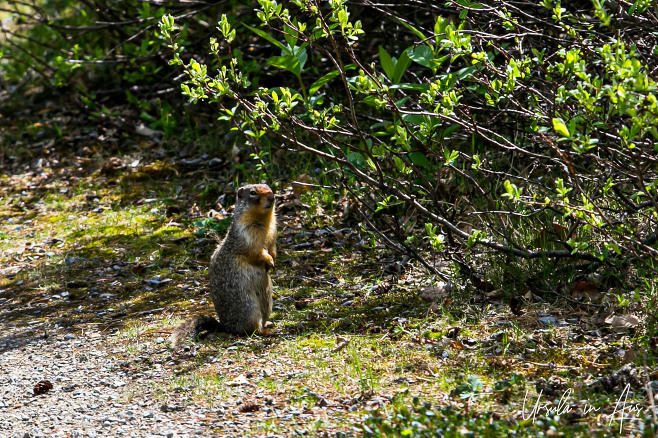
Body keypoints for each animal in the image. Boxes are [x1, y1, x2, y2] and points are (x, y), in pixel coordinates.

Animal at [170, 183, 276, 348]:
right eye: (252, 193)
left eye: (268, 187)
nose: (272, 197)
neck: (264, 220)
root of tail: (225, 326)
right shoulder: (247, 236)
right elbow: (256, 252)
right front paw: (268, 259)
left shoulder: (272, 233)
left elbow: (272, 247)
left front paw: (273, 259)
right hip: (249, 308)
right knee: (250, 330)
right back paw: (265, 331)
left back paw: (269, 324)